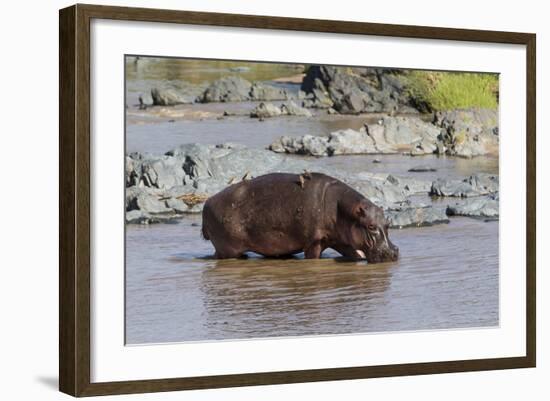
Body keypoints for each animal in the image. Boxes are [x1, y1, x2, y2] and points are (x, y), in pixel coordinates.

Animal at [201, 172, 398, 262]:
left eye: (388, 223)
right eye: (371, 226)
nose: (394, 251)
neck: (342, 210)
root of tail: (207, 202)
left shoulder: (341, 241)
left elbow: (355, 254)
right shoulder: (314, 242)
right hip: (227, 249)